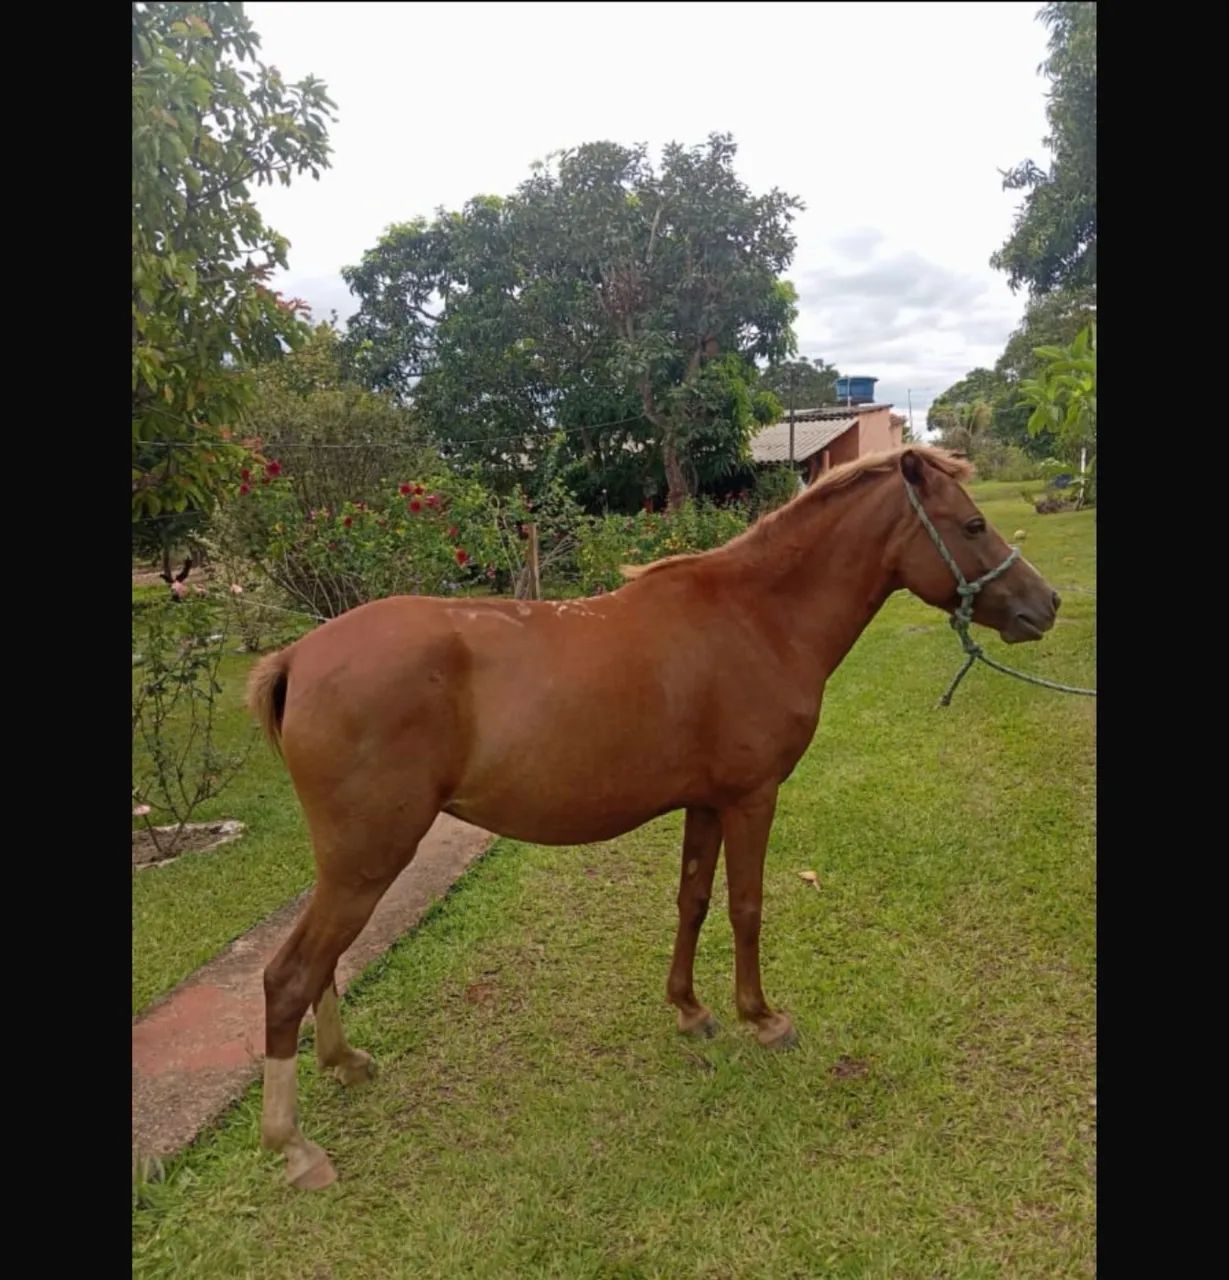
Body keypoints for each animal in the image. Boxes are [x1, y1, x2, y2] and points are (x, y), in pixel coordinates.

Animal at [246, 445, 1060, 1188]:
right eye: (972, 523)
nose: (1045, 604)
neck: (756, 617)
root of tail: (297, 658)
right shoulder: (751, 797)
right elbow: (745, 906)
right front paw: (761, 1018)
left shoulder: (705, 801)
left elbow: (692, 899)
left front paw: (690, 1009)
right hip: (369, 857)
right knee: (290, 976)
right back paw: (295, 1147)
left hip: (350, 861)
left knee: (322, 967)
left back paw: (344, 1063)